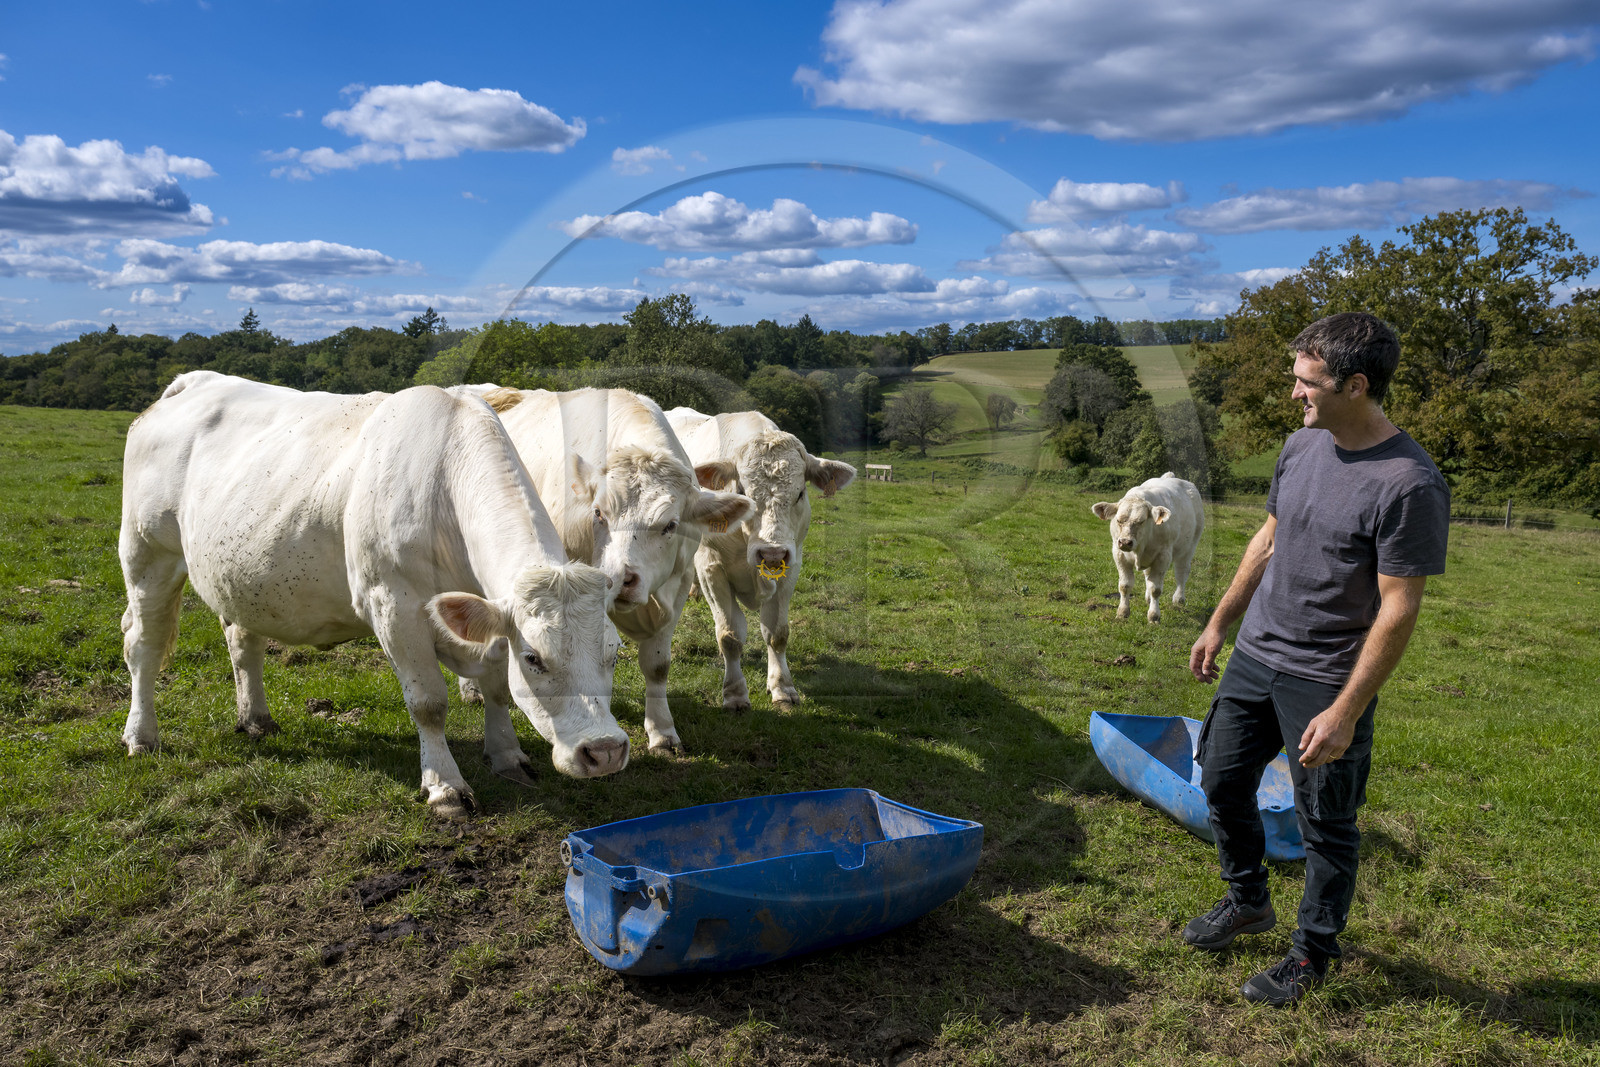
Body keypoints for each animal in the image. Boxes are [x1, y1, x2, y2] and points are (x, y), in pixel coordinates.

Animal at [118, 371, 628, 820]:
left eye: (614, 652)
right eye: (535, 659)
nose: (604, 751)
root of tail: (190, 383)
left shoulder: (483, 617)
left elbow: (497, 687)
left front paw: (507, 755)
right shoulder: (393, 604)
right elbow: (428, 702)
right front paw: (445, 787)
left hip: (243, 579)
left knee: (243, 641)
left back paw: (256, 718)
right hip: (147, 556)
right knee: (142, 645)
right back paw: (142, 735)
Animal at [470, 387, 752, 755]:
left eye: (670, 525)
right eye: (599, 513)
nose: (621, 580)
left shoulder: (677, 588)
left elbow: (657, 666)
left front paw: (662, 730)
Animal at [665, 408, 856, 711]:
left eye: (800, 493)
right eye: (743, 492)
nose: (772, 552)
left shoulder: (791, 567)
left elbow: (777, 632)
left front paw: (782, 687)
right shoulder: (711, 568)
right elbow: (729, 635)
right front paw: (734, 693)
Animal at [1090, 471, 1205, 623]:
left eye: (1141, 521)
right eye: (1119, 520)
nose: (1125, 542)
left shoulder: (1163, 556)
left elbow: (1155, 588)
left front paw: (1154, 616)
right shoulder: (1118, 554)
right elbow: (1125, 585)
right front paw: (1122, 612)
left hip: (1190, 546)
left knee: (1182, 572)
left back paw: (1179, 599)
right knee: (1148, 575)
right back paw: (1148, 598)